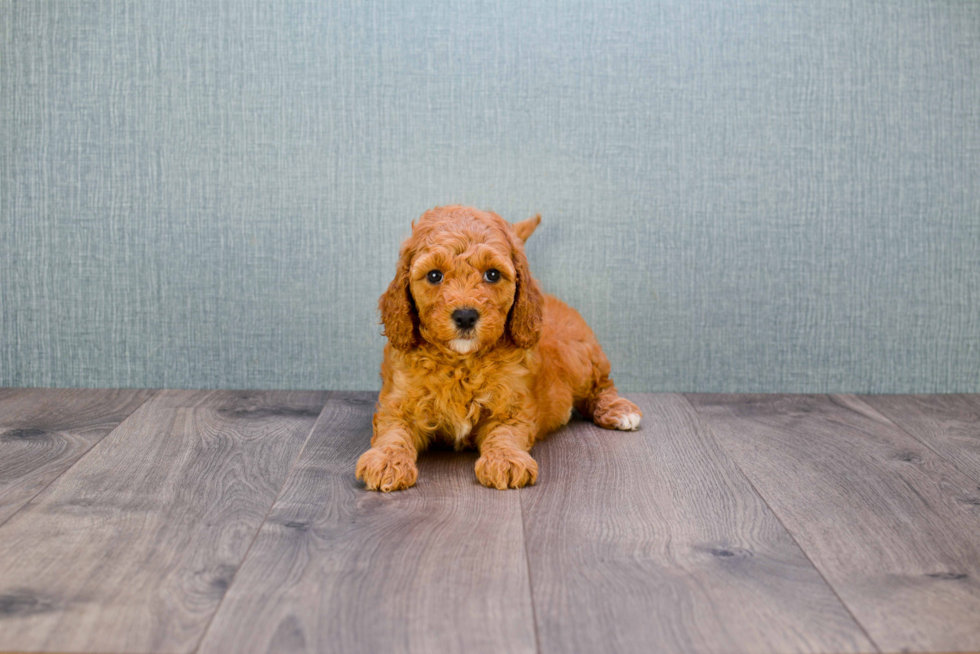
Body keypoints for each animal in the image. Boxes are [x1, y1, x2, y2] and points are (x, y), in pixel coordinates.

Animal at [358, 206, 644, 492]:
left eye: (493, 274)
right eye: (434, 275)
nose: (465, 316)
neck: (461, 362)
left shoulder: (512, 406)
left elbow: (505, 432)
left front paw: (505, 459)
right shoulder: (398, 402)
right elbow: (393, 431)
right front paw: (387, 461)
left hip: (581, 359)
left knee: (600, 385)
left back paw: (620, 411)